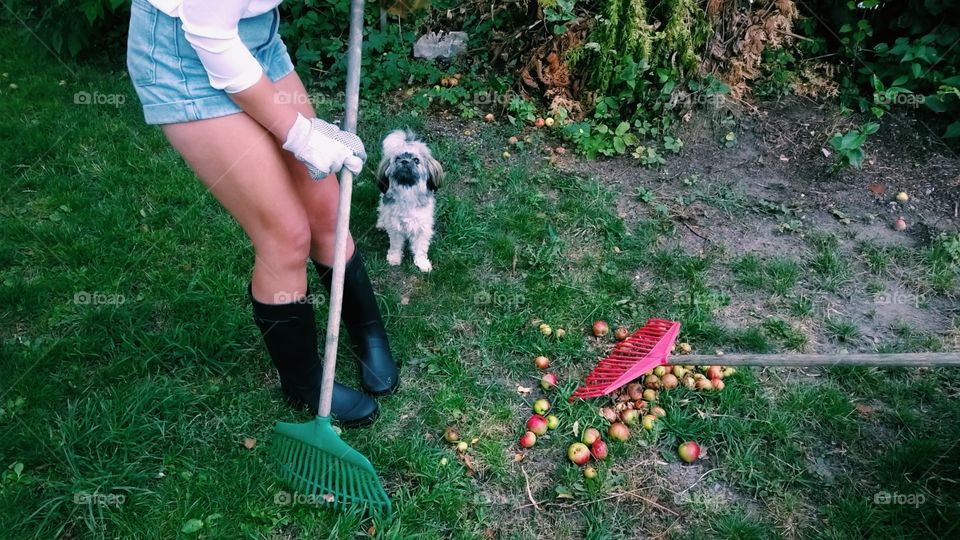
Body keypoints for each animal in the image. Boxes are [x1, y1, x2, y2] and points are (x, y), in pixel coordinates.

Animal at [374, 129, 444, 272]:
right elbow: (396, 245)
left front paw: (422, 262)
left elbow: (421, 248)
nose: (405, 161)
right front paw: (394, 258)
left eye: (416, 160)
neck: (408, 192)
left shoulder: (422, 227)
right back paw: (381, 223)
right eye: (397, 159)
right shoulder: (395, 227)